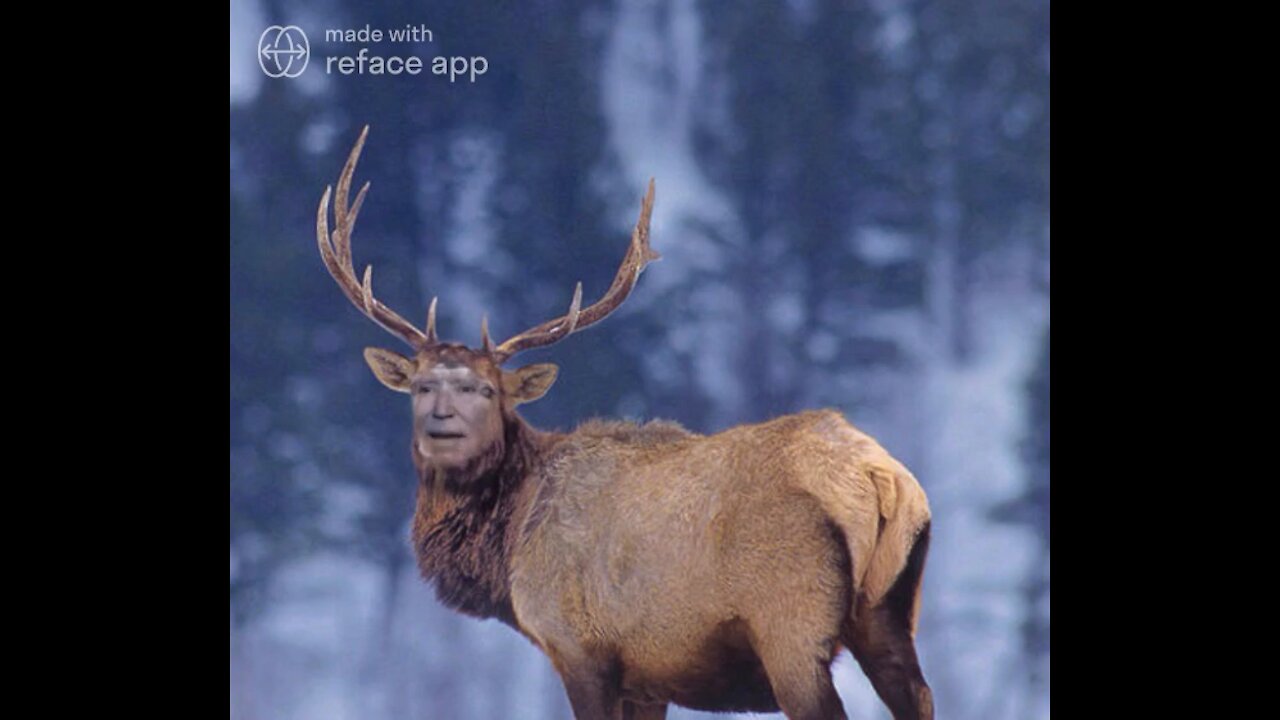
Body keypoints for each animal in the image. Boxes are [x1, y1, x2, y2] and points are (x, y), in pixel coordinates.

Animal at [315, 127, 934, 720]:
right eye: (421, 386)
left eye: (487, 390)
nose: (441, 425)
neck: (509, 544)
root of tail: (879, 476)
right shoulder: (648, 676)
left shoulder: (580, 647)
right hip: (889, 611)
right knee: (920, 695)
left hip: (790, 624)